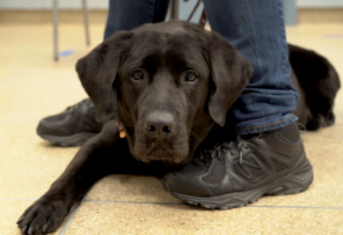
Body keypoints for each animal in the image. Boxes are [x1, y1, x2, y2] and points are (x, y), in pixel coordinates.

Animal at [16, 21, 342, 234]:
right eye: (137, 74)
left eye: (191, 76)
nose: (159, 127)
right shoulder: (102, 142)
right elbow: (70, 173)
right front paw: (45, 206)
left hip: (325, 70)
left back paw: (319, 119)